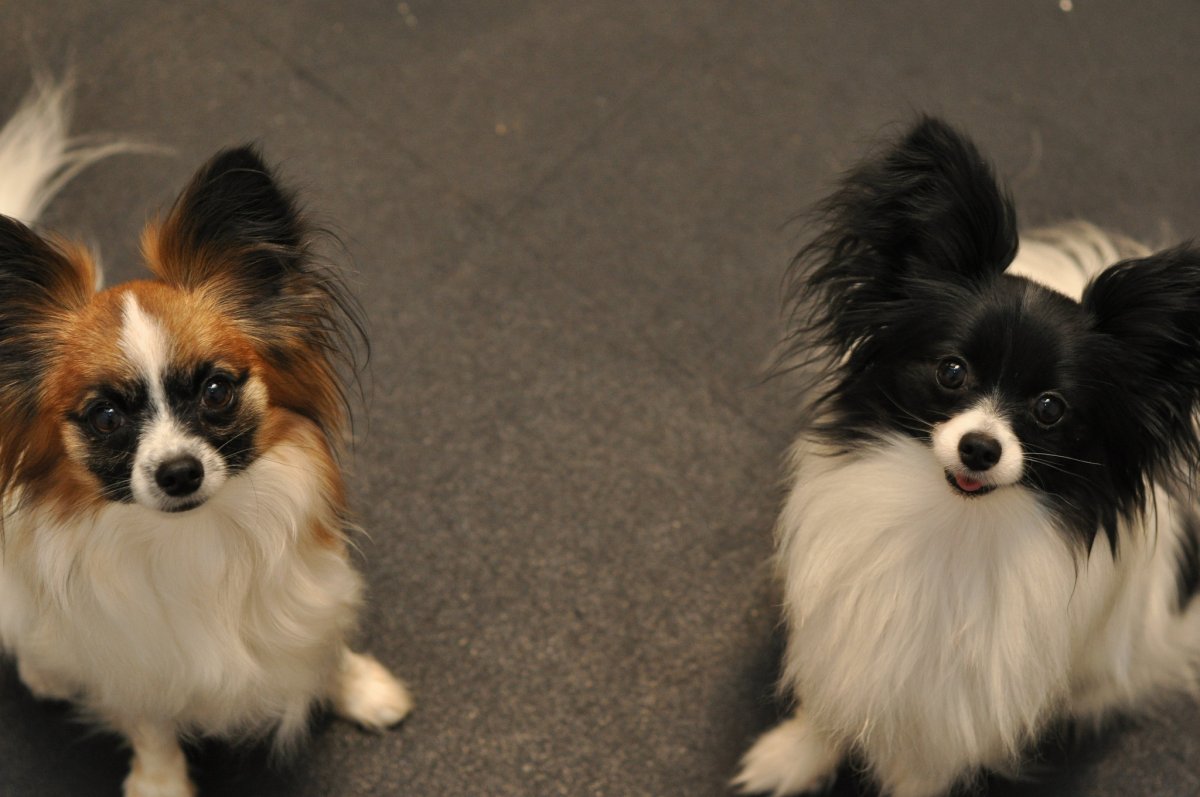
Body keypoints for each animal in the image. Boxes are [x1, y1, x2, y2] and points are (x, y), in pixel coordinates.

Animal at [0, 78, 412, 792]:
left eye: (217, 391)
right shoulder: (131, 661)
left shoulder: (308, 592)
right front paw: (161, 784)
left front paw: (359, 688)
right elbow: (151, 726)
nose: (179, 473)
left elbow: (323, 641)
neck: (196, 537)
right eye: (106, 417)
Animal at [734, 120, 1200, 797]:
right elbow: (828, 705)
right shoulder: (851, 638)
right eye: (951, 371)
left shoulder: (956, 712)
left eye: (1051, 409)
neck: (954, 524)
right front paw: (790, 756)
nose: (980, 448)